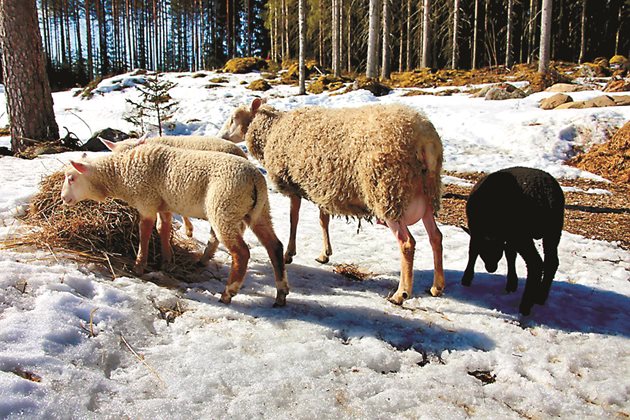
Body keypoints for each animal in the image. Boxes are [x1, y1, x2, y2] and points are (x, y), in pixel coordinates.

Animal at [59, 144, 292, 306]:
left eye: (71, 178)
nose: (63, 199)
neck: (121, 174)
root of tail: (255, 179)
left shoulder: (146, 201)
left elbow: (145, 232)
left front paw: (139, 265)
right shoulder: (163, 205)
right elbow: (163, 230)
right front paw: (166, 261)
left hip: (224, 207)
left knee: (241, 252)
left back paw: (228, 292)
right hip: (259, 211)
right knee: (274, 246)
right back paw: (281, 293)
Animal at [220, 97, 446, 306]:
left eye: (234, 118)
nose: (222, 136)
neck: (272, 130)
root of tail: (425, 140)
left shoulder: (293, 184)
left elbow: (294, 219)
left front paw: (289, 253)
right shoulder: (325, 187)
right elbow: (323, 220)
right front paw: (325, 254)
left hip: (388, 192)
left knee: (407, 243)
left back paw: (401, 294)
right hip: (426, 192)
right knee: (436, 236)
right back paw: (437, 287)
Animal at [460, 167, 568, 316]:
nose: (491, 269)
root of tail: (544, 193)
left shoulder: (478, 232)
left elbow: (473, 251)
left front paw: (466, 279)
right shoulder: (506, 236)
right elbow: (510, 254)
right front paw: (512, 283)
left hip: (522, 232)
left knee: (535, 263)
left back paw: (525, 306)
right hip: (553, 229)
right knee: (551, 262)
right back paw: (540, 297)